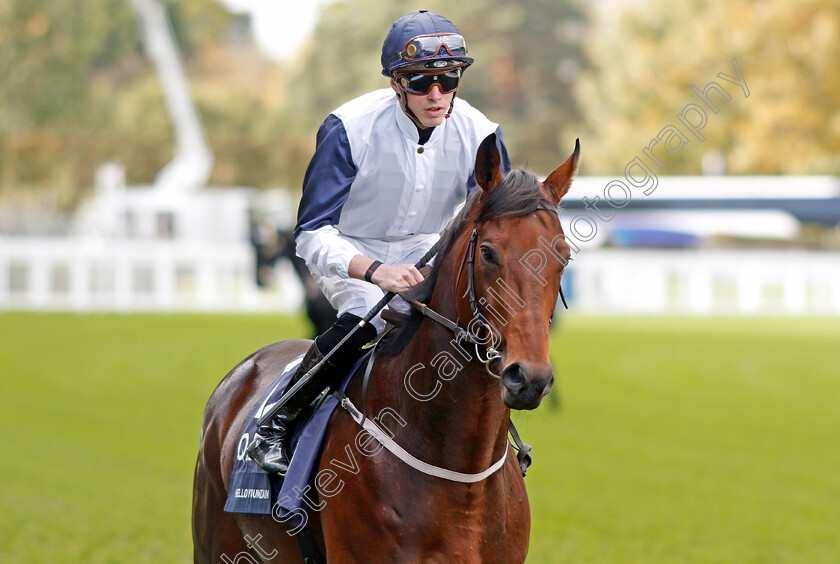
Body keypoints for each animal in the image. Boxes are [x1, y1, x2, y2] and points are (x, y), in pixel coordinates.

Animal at [194, 134, 580, 560]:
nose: (528, 378)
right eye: (488, 252)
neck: (461, 475)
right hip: (212, 541)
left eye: (563, 256)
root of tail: (242, 372)